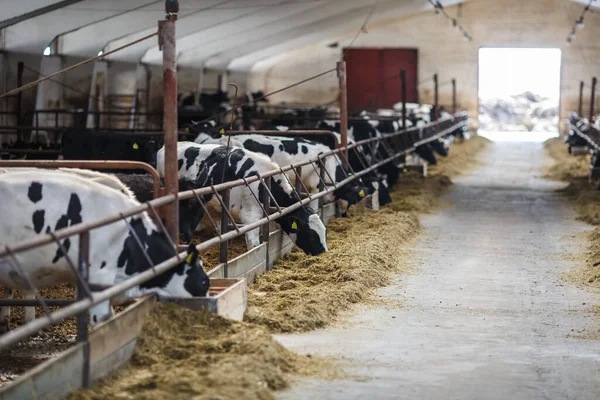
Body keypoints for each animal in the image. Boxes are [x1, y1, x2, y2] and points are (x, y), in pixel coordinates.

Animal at [157, 143, 326, 256]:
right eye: (312, 234)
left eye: (324, 231)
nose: (323, 251)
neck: (266, 182)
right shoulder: (250, 215)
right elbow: (254, 245)